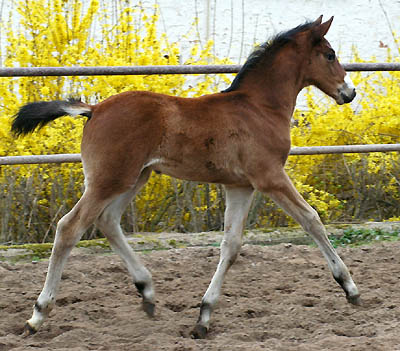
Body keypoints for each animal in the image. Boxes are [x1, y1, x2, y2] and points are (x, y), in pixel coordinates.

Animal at [11, 15, 360, 340]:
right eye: (330, 54)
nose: (350, 92)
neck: (259, 107)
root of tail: (93, 110)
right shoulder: (270, 177)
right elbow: (312, 220)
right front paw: (350, 288)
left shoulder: (240, 186)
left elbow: (231, 245)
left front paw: (203, 317)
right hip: (109, 180)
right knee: (69, 228)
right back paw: (37, 315)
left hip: (133, 178)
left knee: (107, 221)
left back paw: (147, 292)